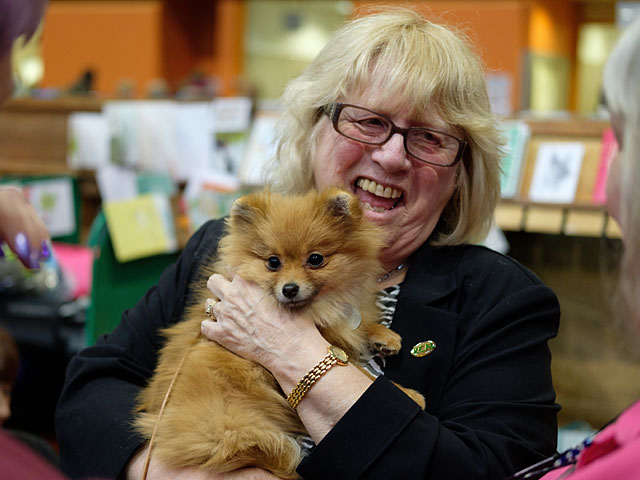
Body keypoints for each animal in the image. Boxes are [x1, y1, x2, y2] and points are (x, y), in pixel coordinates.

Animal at [134, 188, 424, 480]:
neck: (318, 308)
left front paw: (383, 336)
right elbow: (362, 371)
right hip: (239, 426)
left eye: (315, 259)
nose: (290, 288)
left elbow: (358, 326)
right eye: (273, 262)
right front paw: (409, 394)